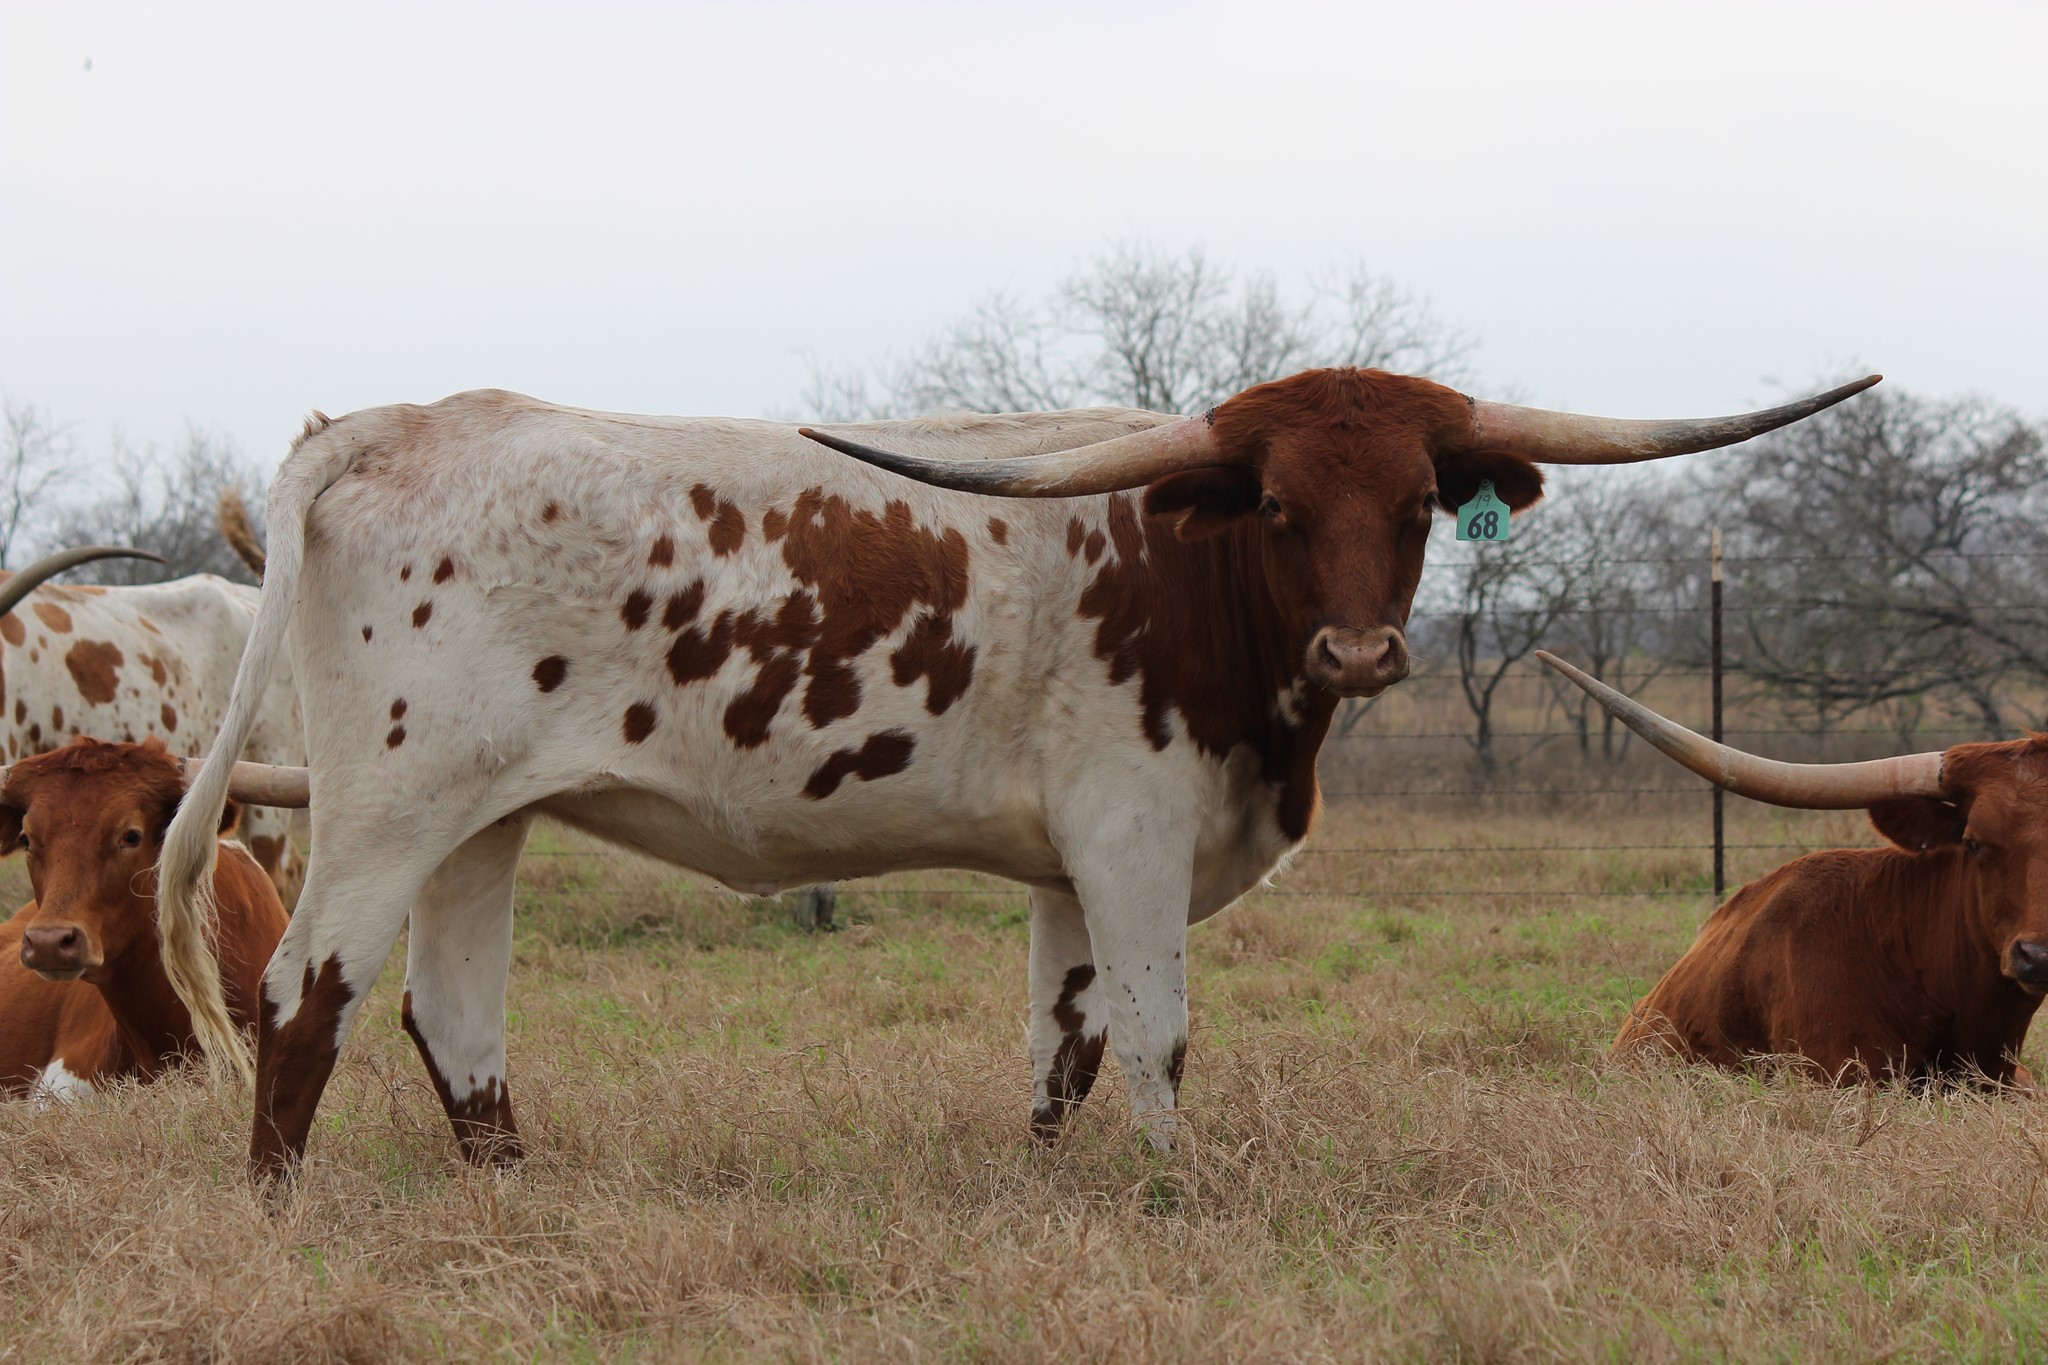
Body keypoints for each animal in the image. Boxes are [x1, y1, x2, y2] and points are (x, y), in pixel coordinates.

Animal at [153, 368, 1878, 1178]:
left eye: (1414, 505)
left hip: (480, 822)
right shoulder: (1132, 837)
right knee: (304, 991)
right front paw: (1184, 1201)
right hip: (384, 808)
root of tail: (393, 422)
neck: (1192, 573)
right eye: (1275, 502)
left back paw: (513, 1195)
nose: (1358, 653)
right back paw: (280, 1211)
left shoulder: (1071, 870)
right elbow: (1161, 1040)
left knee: (454, 1018)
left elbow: (1068, 1051)